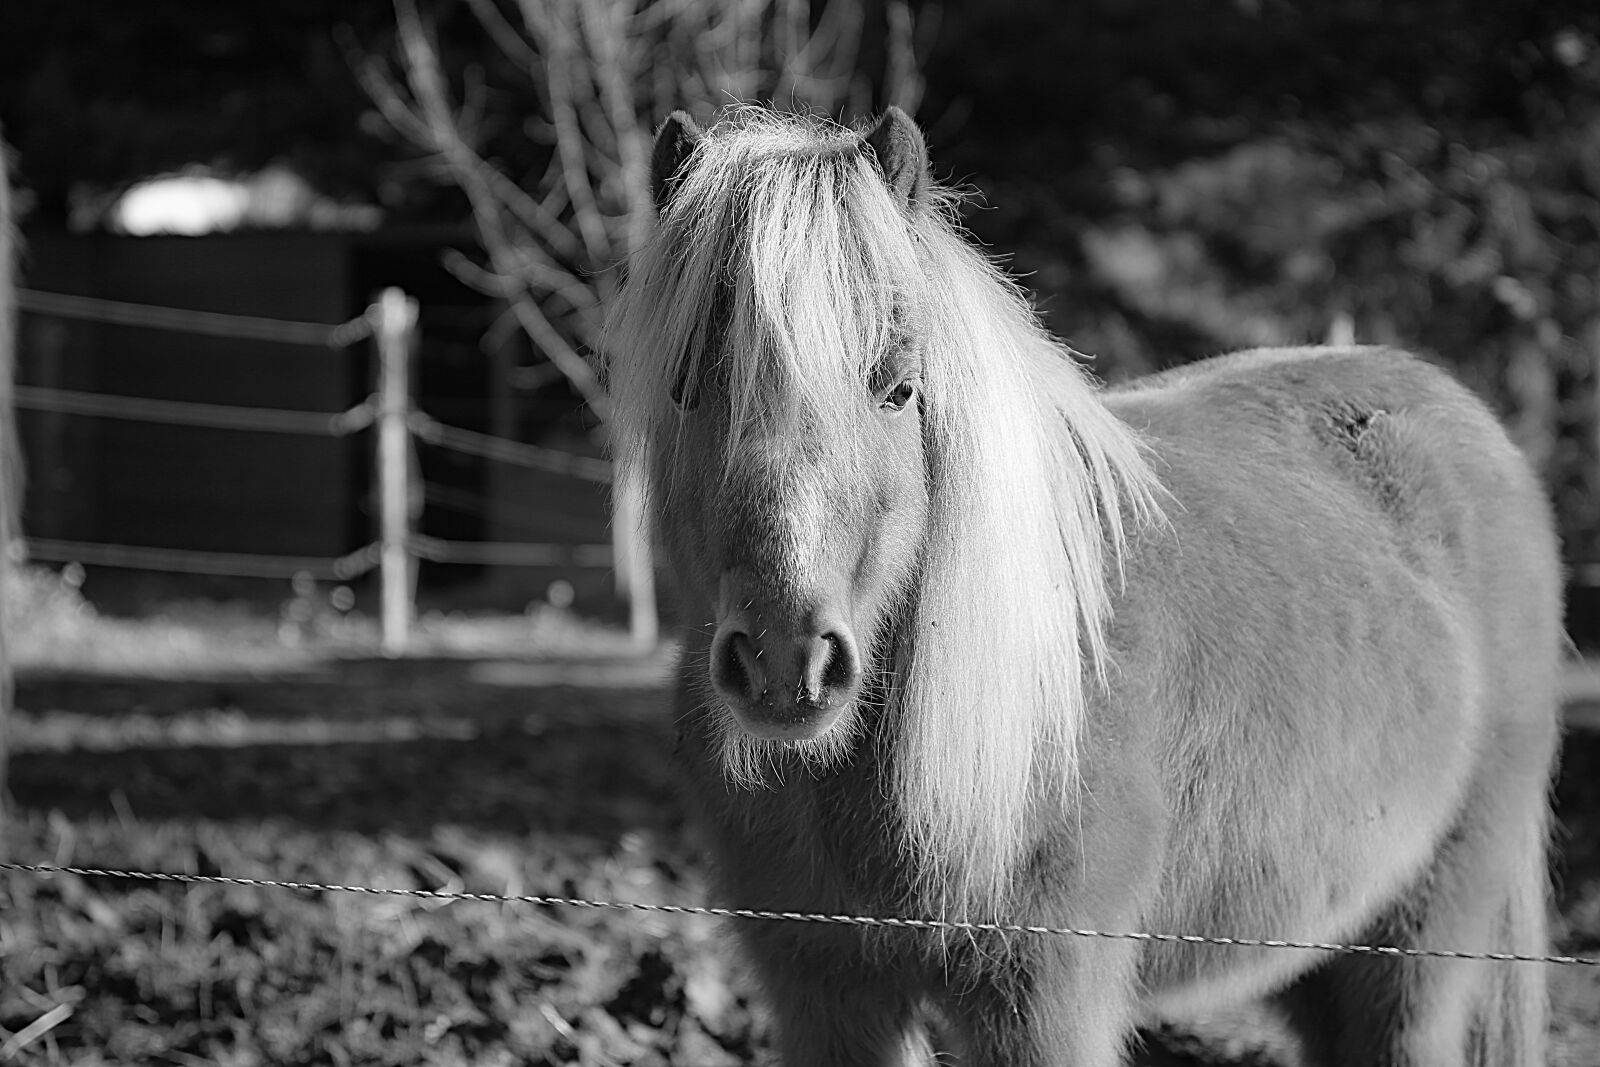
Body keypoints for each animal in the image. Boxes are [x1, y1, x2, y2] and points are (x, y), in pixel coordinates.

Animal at [603, 106, 1562, 1066]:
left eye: (899, 388)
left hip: (1412, 963)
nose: (785, 660)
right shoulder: (824, 992)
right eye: (687, 387)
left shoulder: (1045, 1000)